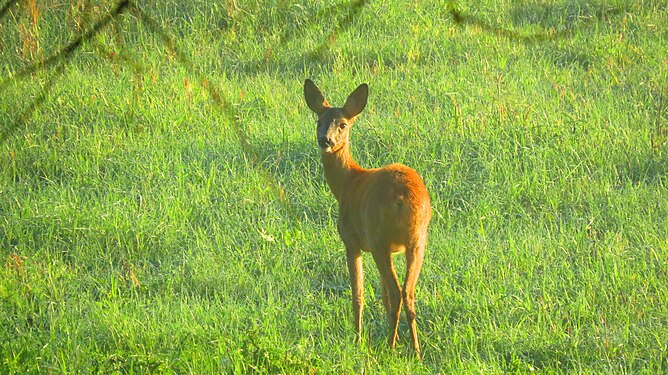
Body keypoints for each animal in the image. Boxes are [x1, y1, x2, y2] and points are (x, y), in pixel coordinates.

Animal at [304, 79, 434, 362]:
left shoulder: (351, 240)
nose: (325, 140)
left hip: (377, 238)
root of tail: (402, 197)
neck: (347, 183)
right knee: (407, 292)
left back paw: (392, 345)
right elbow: (382, 295)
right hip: (417, 240)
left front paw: (357, 338)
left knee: (396, 292)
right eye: (319, 120)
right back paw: (415, 350)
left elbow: (358, 293)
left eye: (343, 124)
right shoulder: (394, 248)